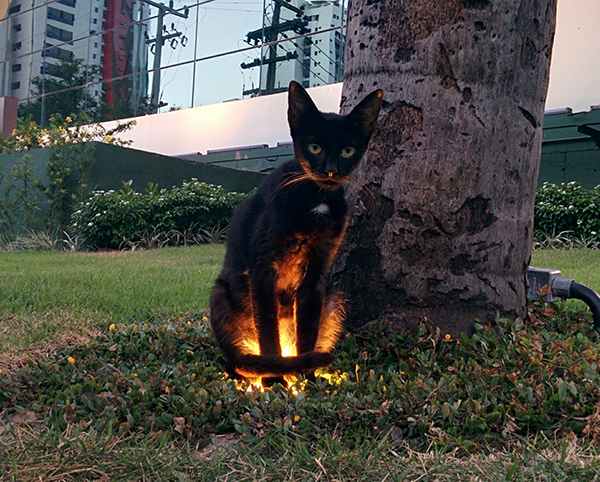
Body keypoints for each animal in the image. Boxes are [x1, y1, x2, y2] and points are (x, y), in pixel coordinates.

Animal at [209, 83, 382, 384]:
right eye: (315, 147)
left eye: (348, 150)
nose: (330, 171)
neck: (315, 199)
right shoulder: (262, 269)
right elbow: (268, 329)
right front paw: (276, 379)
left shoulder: (316, 273)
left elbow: (308, 330)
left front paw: (307, 375)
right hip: (220, 295)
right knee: (237, 358)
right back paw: (253, 370)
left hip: (333, 298)